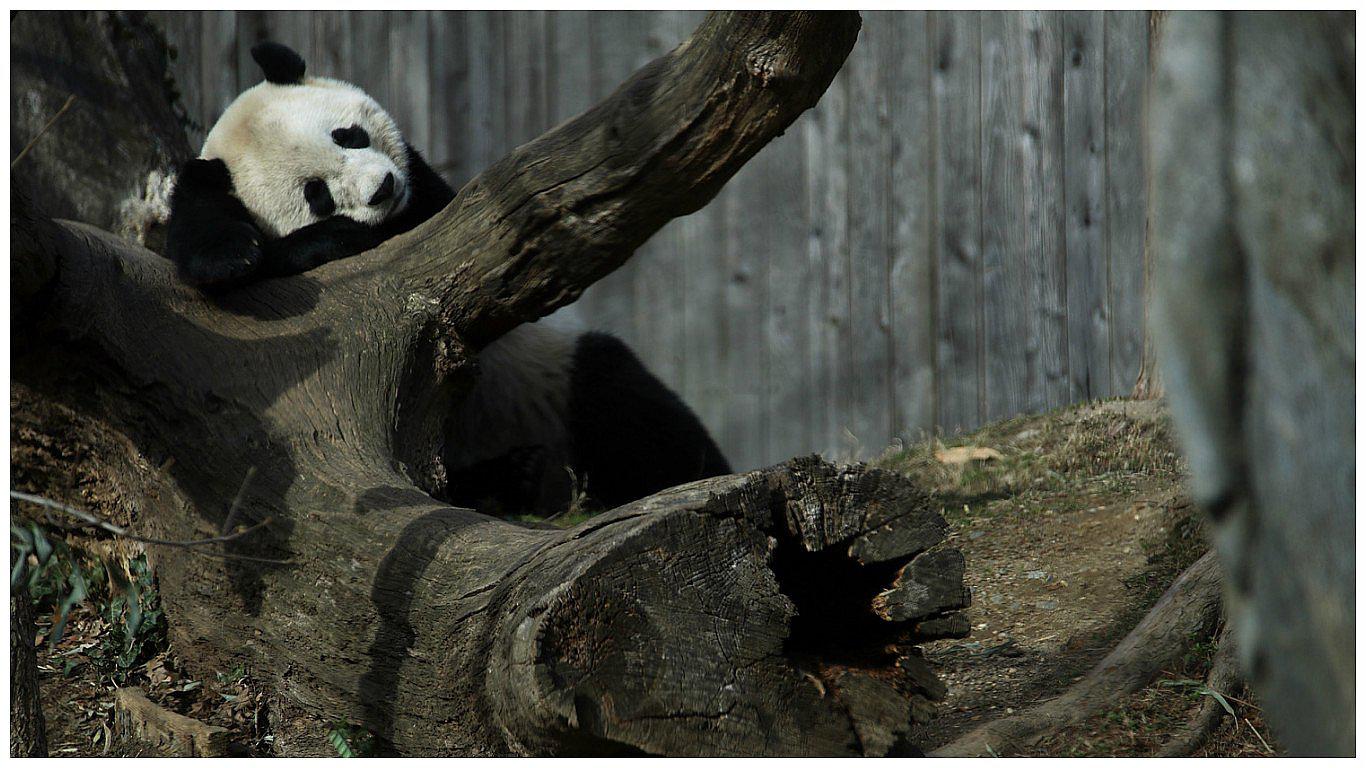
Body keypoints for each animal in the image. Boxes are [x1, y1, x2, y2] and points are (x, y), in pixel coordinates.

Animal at [166, 41, 731, 515]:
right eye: (316, 194)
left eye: (347, 135)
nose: (381, 188)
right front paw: (236, 254)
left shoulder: (435, 210)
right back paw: (511, 477)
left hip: (555, 374)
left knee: (628, 406)